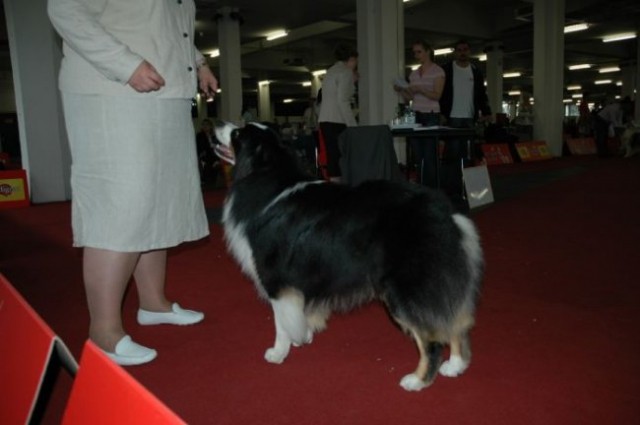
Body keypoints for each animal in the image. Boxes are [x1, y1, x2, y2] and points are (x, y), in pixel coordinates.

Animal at [212, 121, 482, 390]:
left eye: (237, 134)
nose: (217, 126)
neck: (269, 173)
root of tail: (444, 213)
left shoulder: (275, 279)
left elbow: (280, 322)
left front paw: (278, 352)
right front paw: (303, 336)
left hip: (405, 288)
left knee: (431, 337)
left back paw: (417, 380)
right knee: (453, 321)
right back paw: (455, 366)